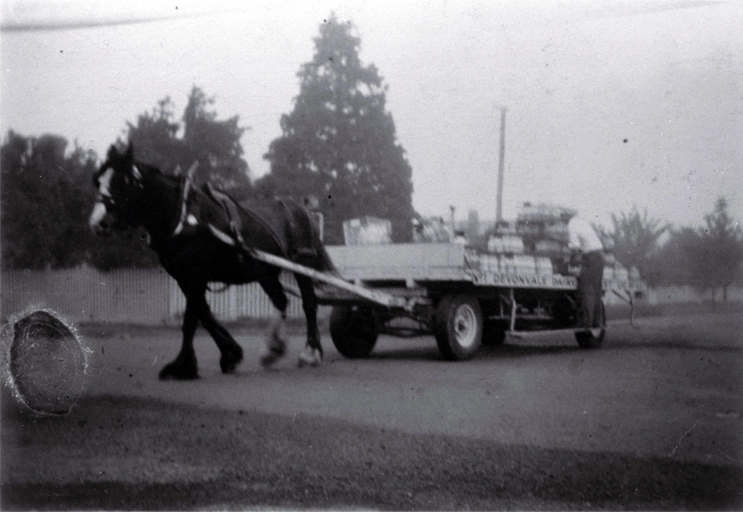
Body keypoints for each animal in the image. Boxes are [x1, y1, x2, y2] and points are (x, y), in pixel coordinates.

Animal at [87, 142, 338, 378]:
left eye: (123, 181)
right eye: (98, 181)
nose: (98, 223)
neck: (185, 218)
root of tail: (299, 208)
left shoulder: (195, 275)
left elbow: (191, 319)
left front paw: (183, 366)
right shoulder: (183, 277)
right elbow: (204, 315)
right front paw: (230, 354)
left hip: (302, 263)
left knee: (308, 303)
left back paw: (310, 352)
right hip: (264, 272)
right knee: (281, 301)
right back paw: (273, 349)